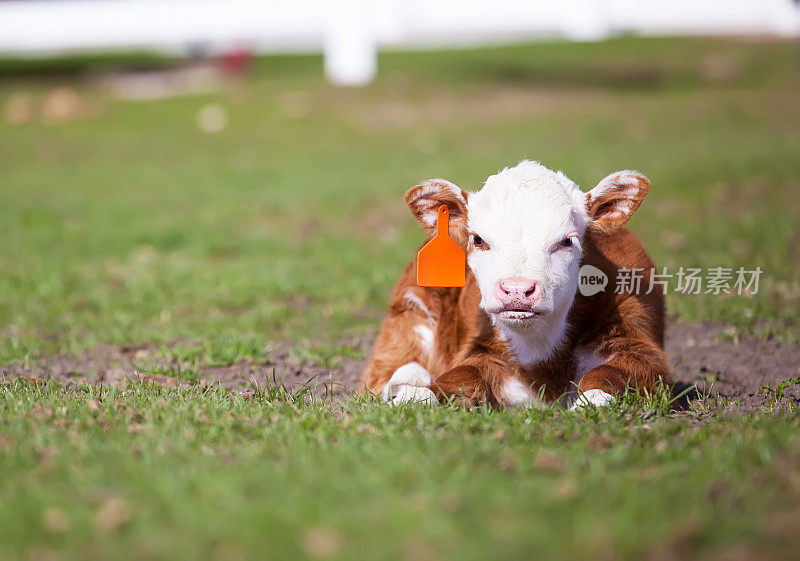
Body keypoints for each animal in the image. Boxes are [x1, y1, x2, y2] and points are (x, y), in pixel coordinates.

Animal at [362, 160, 668, 410]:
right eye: (478, 239)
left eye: (566, 241)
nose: (517, 289)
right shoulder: (480, 349)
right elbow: (462, 375)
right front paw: (416, 396)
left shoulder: (639, 343)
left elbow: (609, 372)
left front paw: (593, 399)